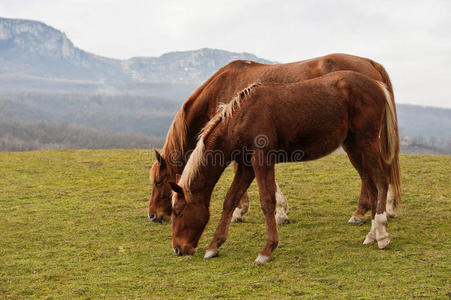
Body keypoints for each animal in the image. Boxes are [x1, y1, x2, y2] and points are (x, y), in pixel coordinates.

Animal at [150, 52, 400, 225]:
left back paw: (376, 211)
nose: (153, 215)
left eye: (158, 181)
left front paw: (246, 211)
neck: (220, 89)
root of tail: (369, 63)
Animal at [169, 71, 400, 262]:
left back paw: (381, 234)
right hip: (353, 146)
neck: (242, 116)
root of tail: (377, 84)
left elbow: (267, 201)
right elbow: (230, 200)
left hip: (367, 142)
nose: (178, 249)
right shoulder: (246, 166)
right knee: (371, 185)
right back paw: (372, 234)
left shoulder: (261, 160)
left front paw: (267, 250)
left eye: (178, 212)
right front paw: (214, 246)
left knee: (382, 181)